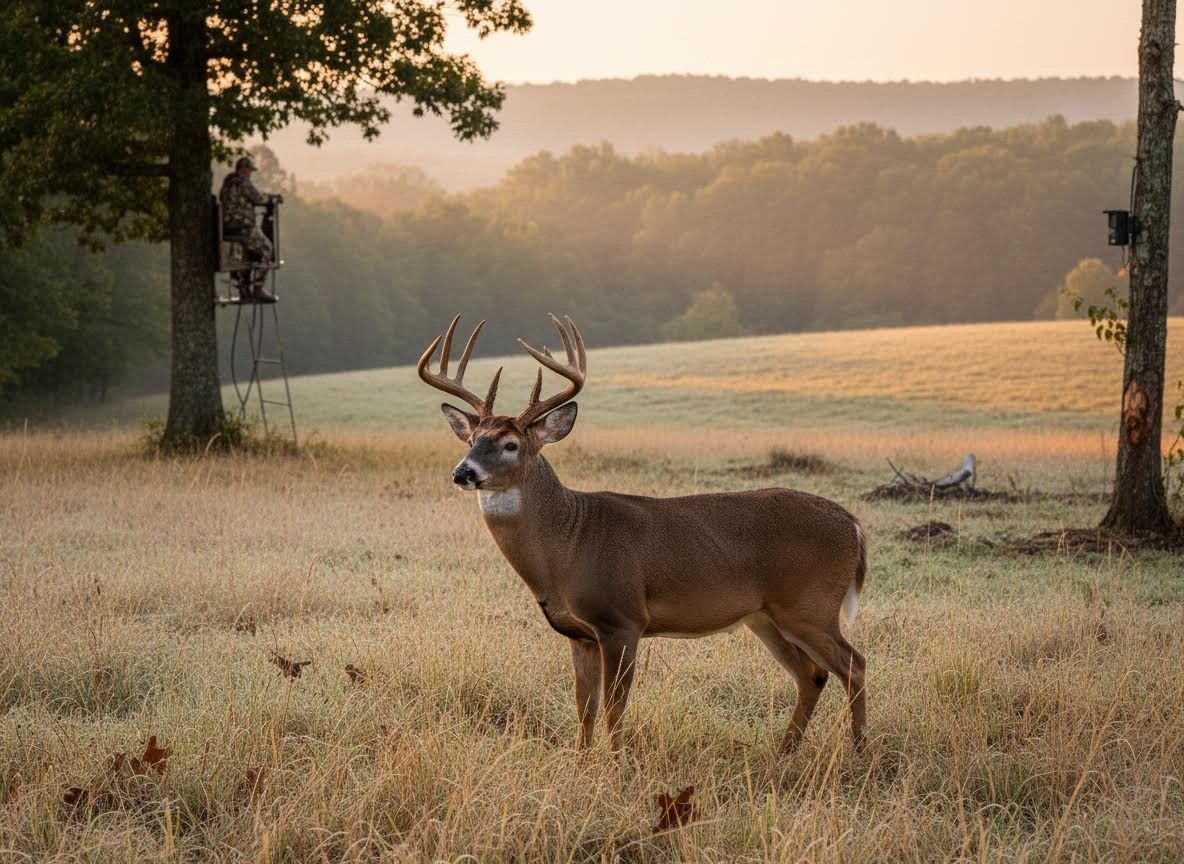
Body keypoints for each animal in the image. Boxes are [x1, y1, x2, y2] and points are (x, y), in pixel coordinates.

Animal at [417, 314, 868, 754]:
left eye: (510, 444)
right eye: (472, 439)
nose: (463, 472)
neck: (568, 546)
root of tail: (854, 525)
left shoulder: (622, 619)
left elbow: (614, 706)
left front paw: (615, 764)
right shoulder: (578, 634)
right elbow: (585, 707)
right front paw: (582, 762)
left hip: (809, 605)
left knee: (854, 664)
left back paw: (858, 749)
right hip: (766, 617)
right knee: (812, 674)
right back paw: (785, 750)